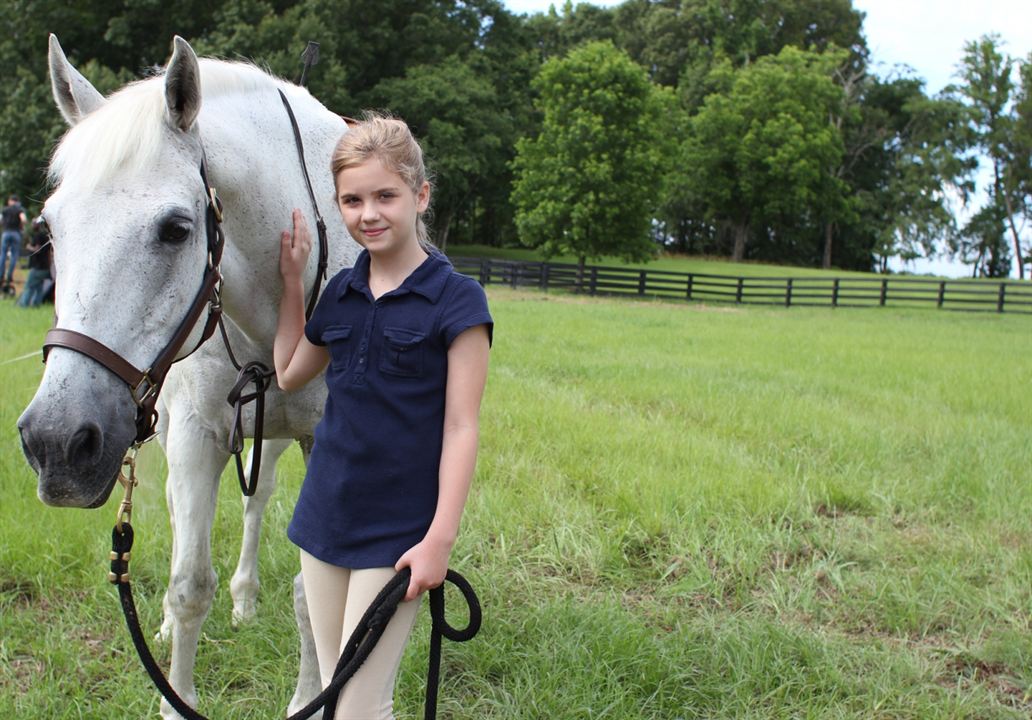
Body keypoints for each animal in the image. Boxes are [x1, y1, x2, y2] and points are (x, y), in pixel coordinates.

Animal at [15, 35, 363, 717]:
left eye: (176, 229)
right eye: (47, 229)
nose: (55, 443)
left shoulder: (322, 444)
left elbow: (311, 592)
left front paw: (308, 698)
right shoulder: (197, 435)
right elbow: (188, 584)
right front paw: (175, 694)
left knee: (256, 503)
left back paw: (246, 599)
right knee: (184, 522)